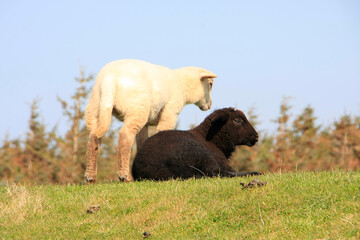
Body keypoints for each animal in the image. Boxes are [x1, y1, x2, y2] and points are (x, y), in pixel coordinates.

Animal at [83, 59, 217, 183]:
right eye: (210, 84)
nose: (210, 105)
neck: (181, 85)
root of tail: (109, 80)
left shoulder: (146, 123)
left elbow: (142, 141)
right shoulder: (170, 112)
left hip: (95, 106)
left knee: (94, 137)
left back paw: (90, 178)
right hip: (137, 107)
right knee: (125, 136)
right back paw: (124, 177)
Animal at [132, 107, 262, 180]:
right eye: (237, 120)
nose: (256, 136)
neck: (211, 140)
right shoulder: (224, 164)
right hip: (200, 154)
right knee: (214, 173)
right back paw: (255, 173)